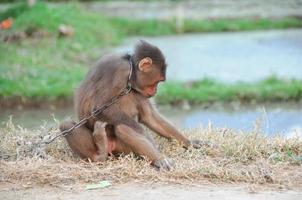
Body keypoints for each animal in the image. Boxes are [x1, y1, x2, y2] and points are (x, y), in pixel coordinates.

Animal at [60, 40, 203, 170]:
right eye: (157, 82)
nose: (155, 91)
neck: (130, 74)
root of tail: (111, 150)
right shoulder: (120, 71)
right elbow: (98, 109)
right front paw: (147, 137)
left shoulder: (138, 89)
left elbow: (150, 117)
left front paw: (189, 142)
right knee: (67, 125)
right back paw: (101, 155)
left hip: (124, 150)